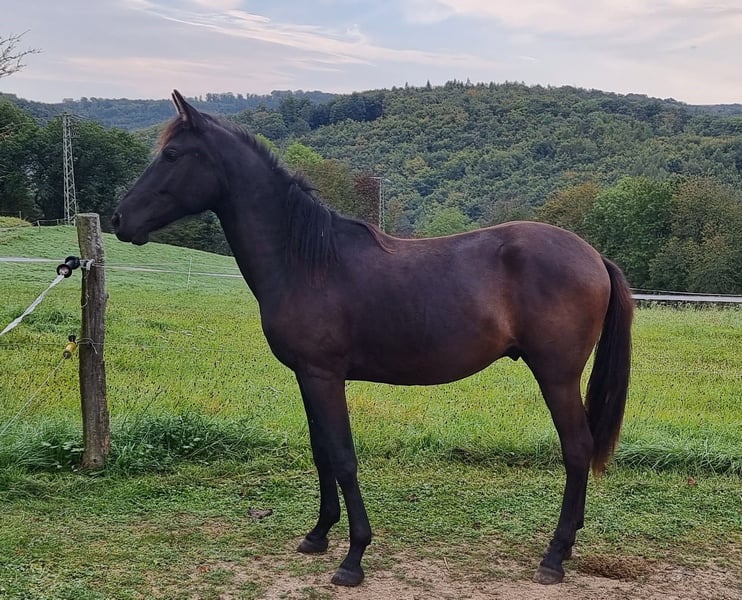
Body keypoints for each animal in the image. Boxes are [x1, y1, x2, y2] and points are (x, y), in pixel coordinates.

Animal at [113, 90, 633, 587]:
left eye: (172, 154)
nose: (119, 219)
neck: (305, 260)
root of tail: (593, 256)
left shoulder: (324, 376)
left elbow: (343, 458)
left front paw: (353, 557)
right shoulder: (307, 377)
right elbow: (321, 452)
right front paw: (318, 534)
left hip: (556, 376)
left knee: (577, 449)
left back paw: (554, 556)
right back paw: (567, 545)